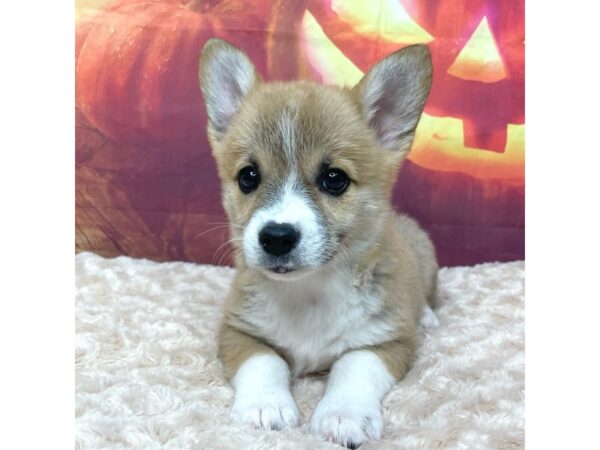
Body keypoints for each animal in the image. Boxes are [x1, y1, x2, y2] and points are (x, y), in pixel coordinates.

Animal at [199, 37, 438, 448]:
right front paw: (265, 407)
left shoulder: (389, 343)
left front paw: (344, 416)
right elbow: (264, 361)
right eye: (248, 176)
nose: (277, 237)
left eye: (334, 179)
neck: (309, 293)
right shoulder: (238, 331)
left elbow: (354, 365)